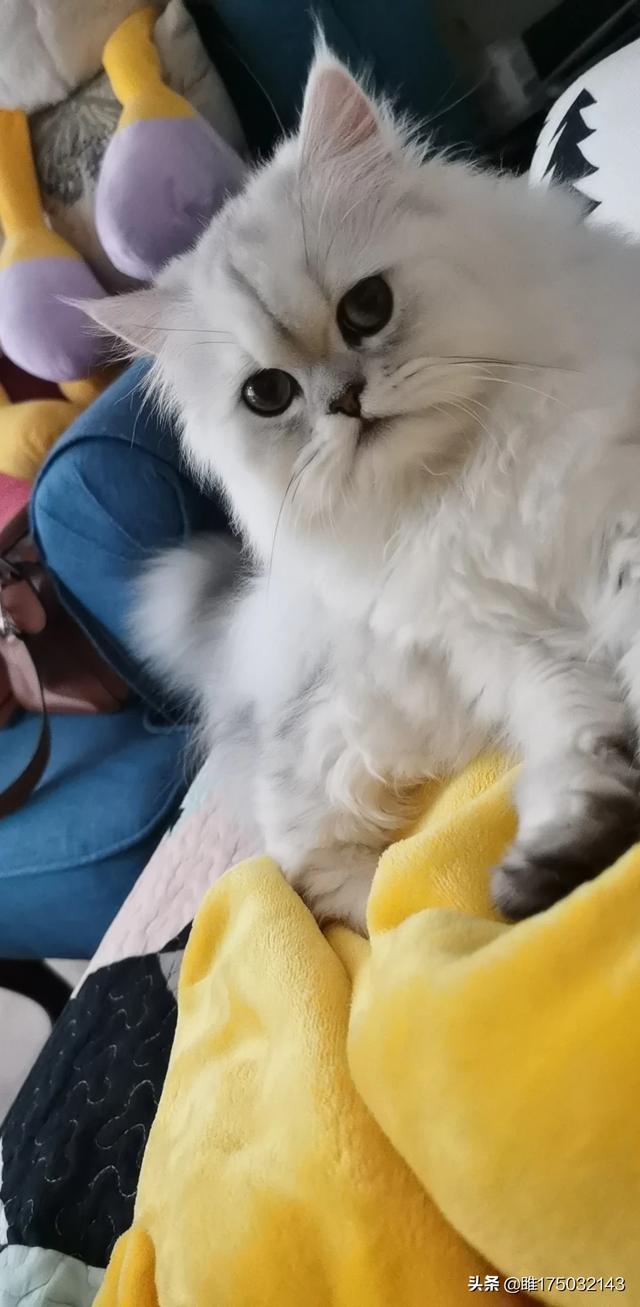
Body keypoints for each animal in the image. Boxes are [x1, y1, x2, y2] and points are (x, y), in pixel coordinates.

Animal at [86, 46, 640, 931]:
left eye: (367, 309)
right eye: (269, 394)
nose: (344, 401)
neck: (460, 483)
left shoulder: (611, 535)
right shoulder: (498, 641)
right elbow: (578, 733)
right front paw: (563, 862)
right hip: (351, 735)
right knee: (297, 866)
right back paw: (385, 914)